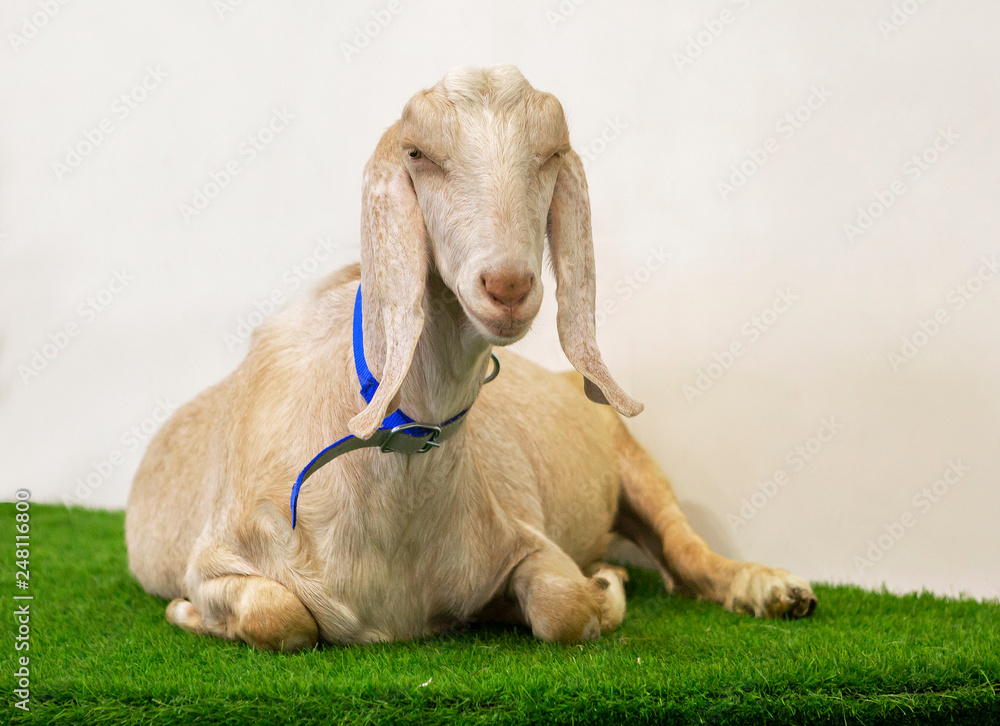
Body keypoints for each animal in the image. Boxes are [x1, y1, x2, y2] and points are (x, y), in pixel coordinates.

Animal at [125, 66, 816, 651]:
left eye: (550, 156)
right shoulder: (216, 557)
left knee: (688, 554)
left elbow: (564, 606)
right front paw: (187, 613)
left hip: (636, 464)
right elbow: (280, 616)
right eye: (418, 155)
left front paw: (600, 587)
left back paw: (776, 589)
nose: (507, 285)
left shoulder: (525, 535)